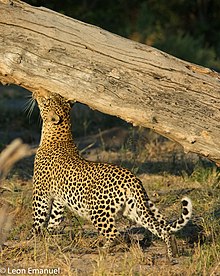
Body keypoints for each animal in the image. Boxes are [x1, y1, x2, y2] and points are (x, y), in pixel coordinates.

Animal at [31, 90, 192, 260]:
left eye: (47, 100)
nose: (35, 93)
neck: (59, 134)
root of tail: (132, 178)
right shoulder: (58, 200)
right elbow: (54, 220)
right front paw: (49, 237)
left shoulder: (40, 194)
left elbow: (37, 218)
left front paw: (33, 238)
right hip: (135, 209)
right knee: (163, 228)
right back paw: (172, 253)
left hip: (98, 211)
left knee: (115, 234)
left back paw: (100, 249)